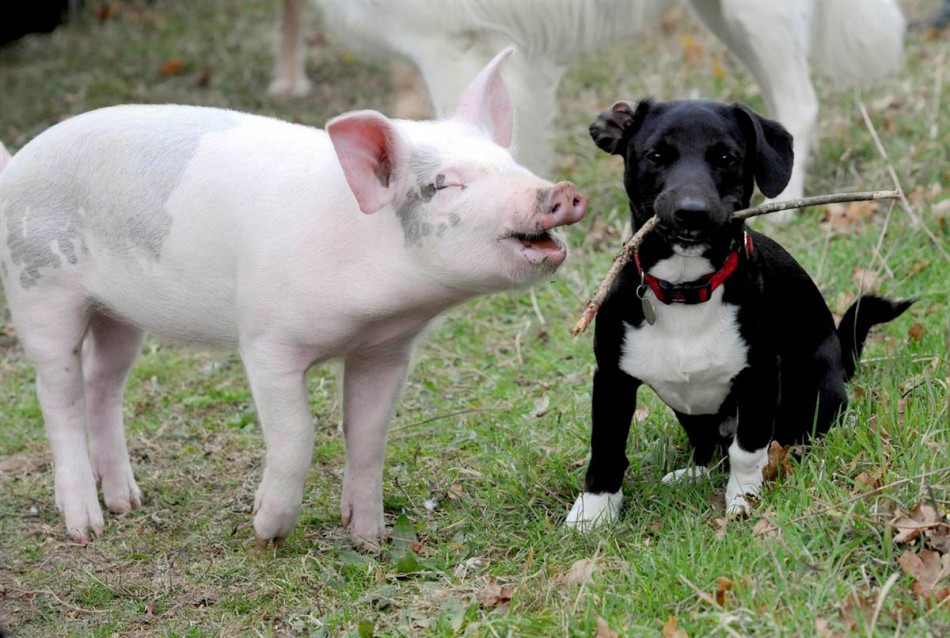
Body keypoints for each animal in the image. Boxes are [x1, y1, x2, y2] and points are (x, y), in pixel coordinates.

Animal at [0, 48, 588, 552]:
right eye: (444, 185)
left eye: (509, 161)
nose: (561, 191)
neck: (375, 308)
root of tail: (15, 165)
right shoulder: (267, 343)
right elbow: (298, 436)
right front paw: (267, 533)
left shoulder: (385, 351)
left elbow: (369, 437)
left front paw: (369, 539)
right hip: (39, 291)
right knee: (58, 395)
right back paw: (87, 527)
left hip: (118, 313)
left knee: (104, 383)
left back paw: (128, 502)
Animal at [564, 99, 916, 528]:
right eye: (657, 156)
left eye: (726, 158)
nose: (691, 212)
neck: (686, 290)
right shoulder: (611, 379)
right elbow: (606, 447)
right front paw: (594, 513)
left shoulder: (760, 376)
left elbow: (746, 451)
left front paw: (744, 500)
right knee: (707, 445)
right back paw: (693, 472)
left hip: (816, 387)